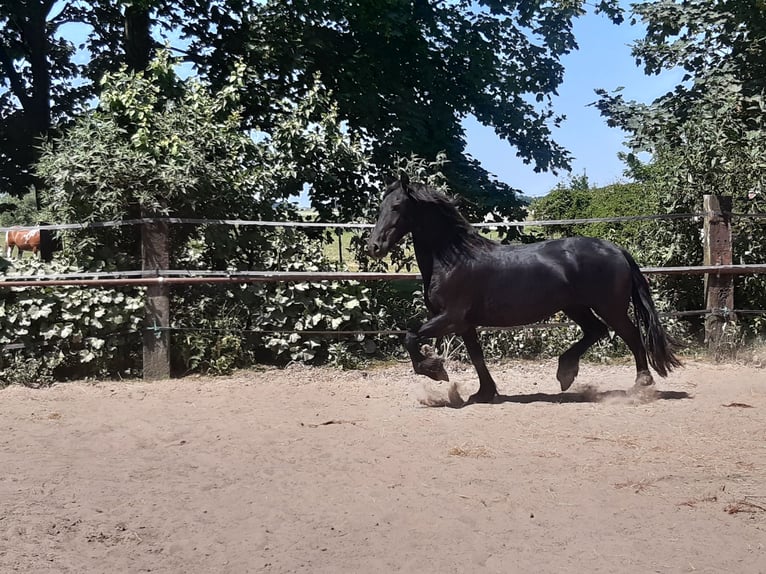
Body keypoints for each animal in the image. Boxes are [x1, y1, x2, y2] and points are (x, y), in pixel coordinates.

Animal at [368, 176, 684, 404]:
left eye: (397, 207)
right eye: (380, 207)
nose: (374, 247)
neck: (453, 259)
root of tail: (615, 249)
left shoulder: (450, 317)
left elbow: (410, 337)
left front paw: (436, 371)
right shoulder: (465, 324)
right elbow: (476, 356)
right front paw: (484, 393)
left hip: (609, 306)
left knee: (631, 336)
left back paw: (640, 385)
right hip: (575, 306)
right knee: (596, 331)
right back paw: (566, 373)